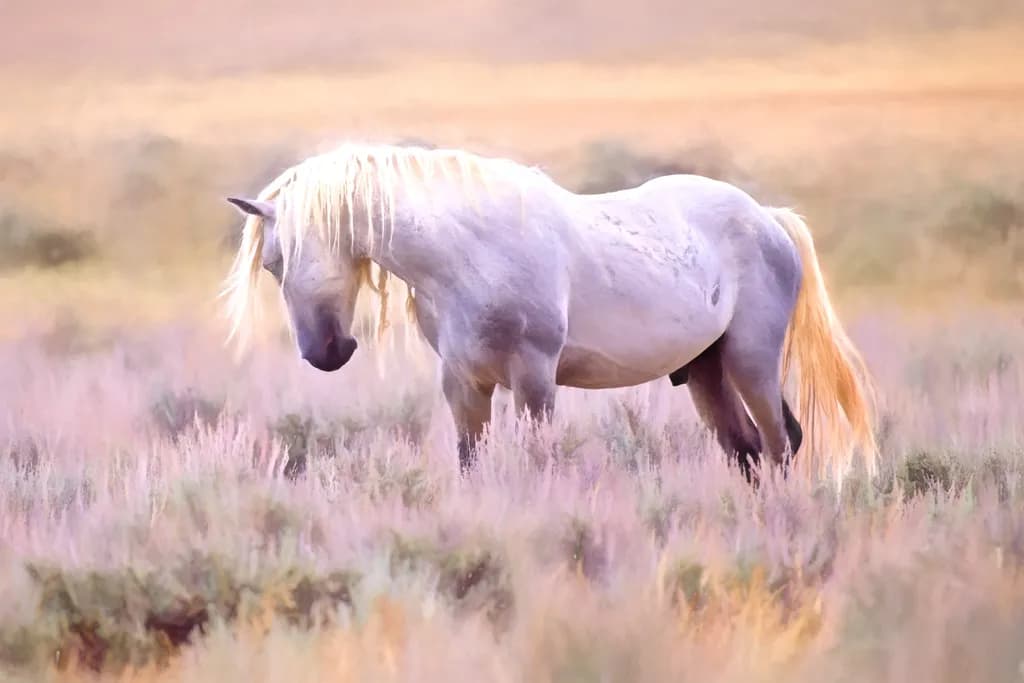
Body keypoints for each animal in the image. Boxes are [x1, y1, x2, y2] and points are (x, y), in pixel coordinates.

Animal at [222, 142, 876, 483]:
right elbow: (471, 463)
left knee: (780, 444)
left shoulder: (534, 378)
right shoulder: (465, 383)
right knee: (746, 450)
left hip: (750, 362)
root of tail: (769, 219)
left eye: (276, 260)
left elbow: (537, 460)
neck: (469, 253)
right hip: (706, 373)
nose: (325, 354)